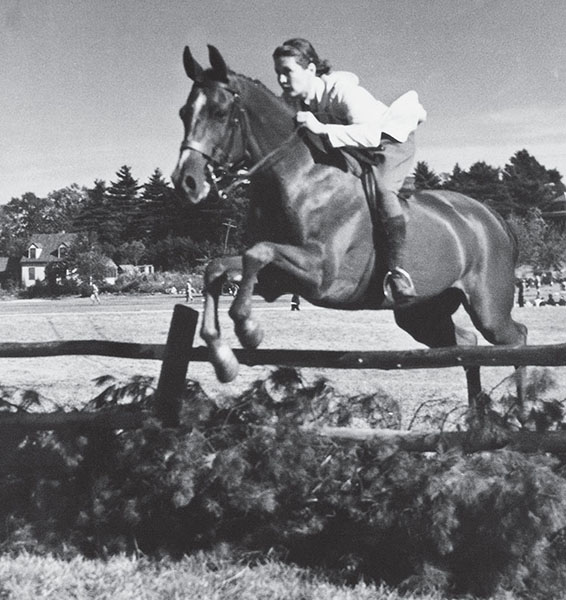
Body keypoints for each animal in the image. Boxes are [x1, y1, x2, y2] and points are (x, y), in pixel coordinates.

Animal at [172, 45, 528, 412]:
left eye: (219, 112)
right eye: (184, 113)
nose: (186, 182)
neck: (299, 176)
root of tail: (493, 219)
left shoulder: (321, 273)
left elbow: (258, 252)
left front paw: (249, 329)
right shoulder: (277, 280)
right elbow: (219, 268)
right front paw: (223, 358)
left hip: (488, 306)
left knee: (515, 339)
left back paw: (521, 410)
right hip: (422, 312)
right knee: (467, 344)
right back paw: (477, 415)